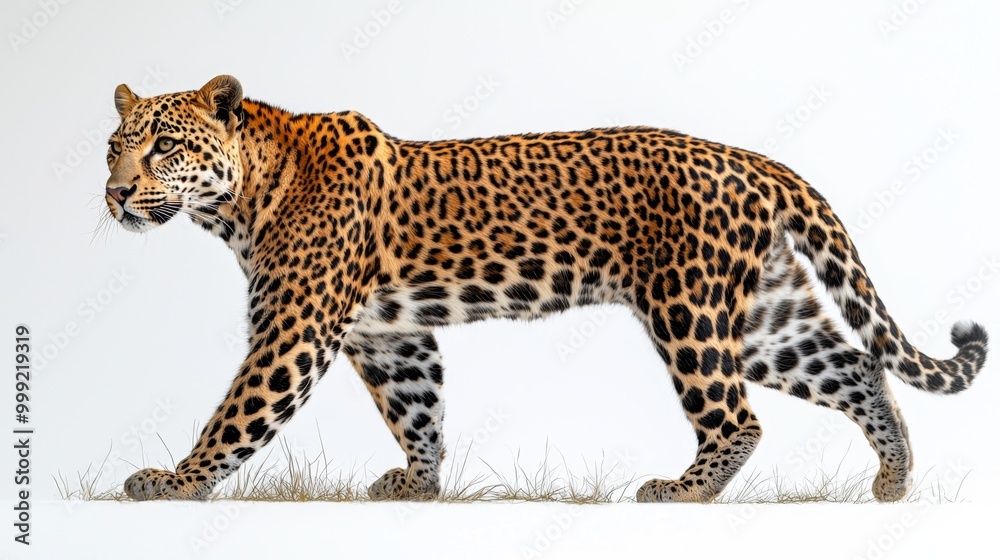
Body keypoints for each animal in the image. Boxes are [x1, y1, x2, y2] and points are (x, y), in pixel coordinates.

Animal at [105, 75, 988, 503]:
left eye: (164, 147)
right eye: (114, 147)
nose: (114, 194)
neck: (243, 197)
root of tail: (754, 160)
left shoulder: (294, 330)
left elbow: (238, 414)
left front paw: (175, 484)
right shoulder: (388, 334)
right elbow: (418, 406)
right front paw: (419, 485)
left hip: (690, 306)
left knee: (737, 417)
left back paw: (684, 491)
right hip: (765, 314)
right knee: (855, 365)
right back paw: (895, 478)